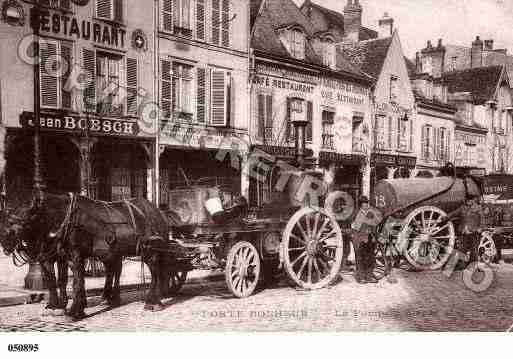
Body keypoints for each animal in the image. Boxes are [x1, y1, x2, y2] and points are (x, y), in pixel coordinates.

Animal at [0, 194, 176, 320]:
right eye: (8, 215)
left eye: (28, 216)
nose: (5, 240)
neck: (63, 218)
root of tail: (158, 212)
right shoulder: (57, 256)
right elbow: (57, 280)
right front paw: (55, 306)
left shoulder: (75, 255)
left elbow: (77, 281)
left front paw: (75, 311)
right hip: (117, 252)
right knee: (116, 270)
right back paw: (112, 298)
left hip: (150, 249)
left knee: (156, 272)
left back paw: (153, 302)